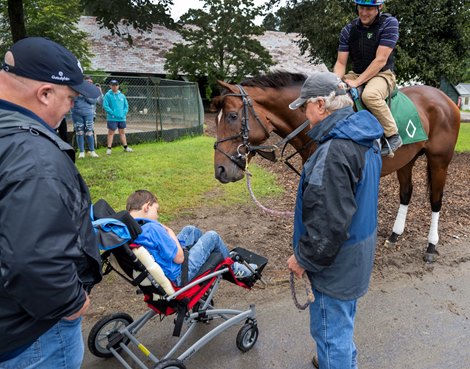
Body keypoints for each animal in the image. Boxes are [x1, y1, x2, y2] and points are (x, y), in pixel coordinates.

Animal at [214, 71, 462, 262]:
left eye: (233, 116)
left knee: (436, 200)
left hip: (440, 160)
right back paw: (394, 235)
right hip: (407, 160)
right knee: (406, 194)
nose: (220, 170)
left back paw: (431, 245)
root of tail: (444, 98)